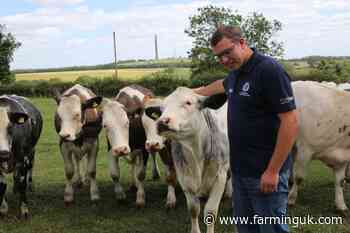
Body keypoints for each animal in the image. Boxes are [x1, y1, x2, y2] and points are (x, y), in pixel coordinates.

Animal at [146, 87, 231, 233]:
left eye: (188, 103)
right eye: (162, 109)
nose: (162, 122)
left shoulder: (220, 177)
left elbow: (210, 212)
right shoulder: (185, 178)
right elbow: (193, 209)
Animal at [290, 81, 350, 212]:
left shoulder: (342, 156)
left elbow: (340, 181)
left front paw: (341, 205)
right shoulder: (304, 150)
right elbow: (299, 177)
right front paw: (291, 199)